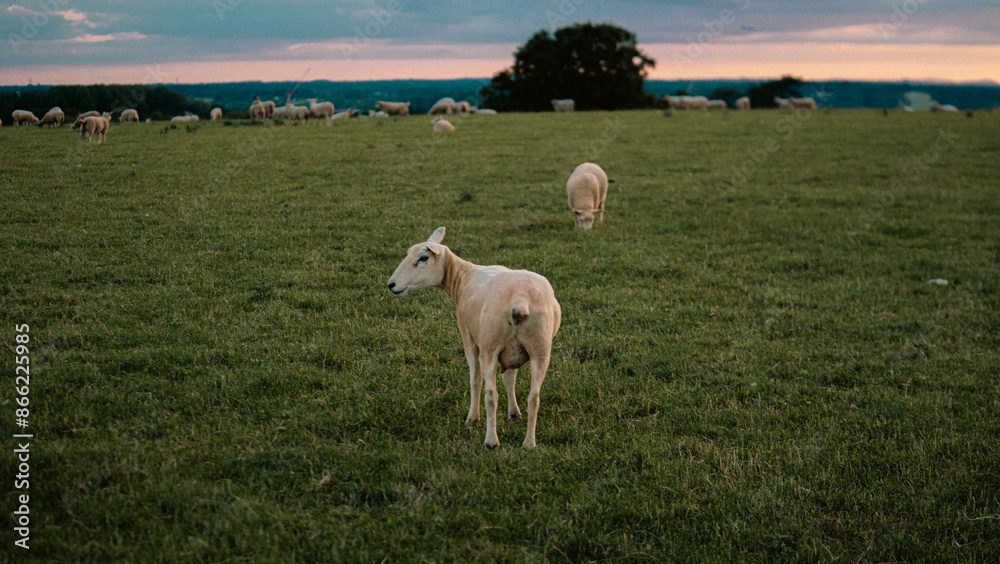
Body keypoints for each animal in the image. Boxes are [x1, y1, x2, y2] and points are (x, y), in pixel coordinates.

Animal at [387, 227, 561, 449]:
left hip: (489, 345)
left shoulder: (468, 336)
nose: (391, 285)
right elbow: (510, 378)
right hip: (541, 347)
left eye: (423, 258)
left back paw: (491, 441)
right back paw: (529, 443)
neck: (463, 276)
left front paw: (472, 417)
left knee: (491, 394)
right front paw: (513, 413)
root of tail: (520, 298)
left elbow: (475, 379)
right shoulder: (513, 350)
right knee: (534, 396)